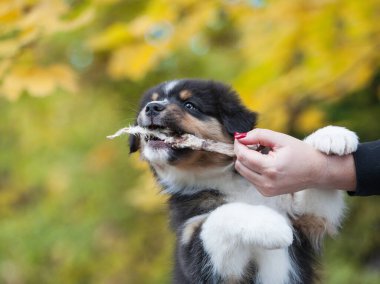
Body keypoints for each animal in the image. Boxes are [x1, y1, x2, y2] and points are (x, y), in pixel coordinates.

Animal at [129, 79, 358, 284]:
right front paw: (271, 224)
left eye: (190, 105)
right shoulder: (202, 256)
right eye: (149, 102)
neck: (225, 179)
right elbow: (221, 215)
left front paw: (332, 135)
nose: (152, 107)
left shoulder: (309, 219)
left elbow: (315, 185)